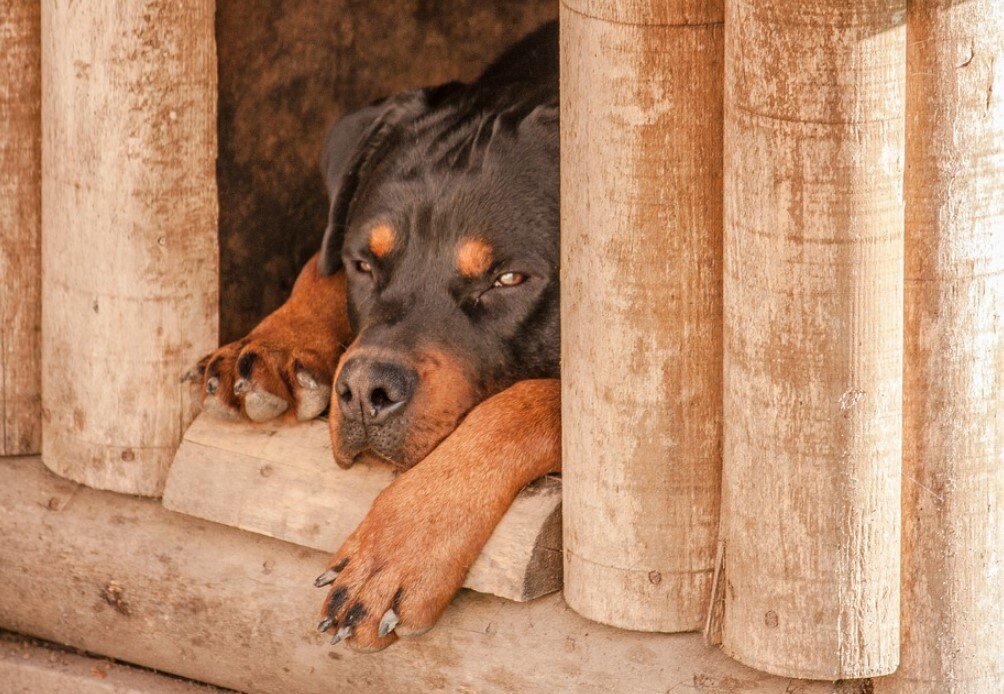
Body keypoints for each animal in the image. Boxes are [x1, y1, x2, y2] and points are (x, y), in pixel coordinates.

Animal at [188, 21, 562, 650]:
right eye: (364, 263)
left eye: (509, 279)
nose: (365, 391)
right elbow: (317, 264)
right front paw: (272, 344)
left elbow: (528, 400)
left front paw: (399, 547)